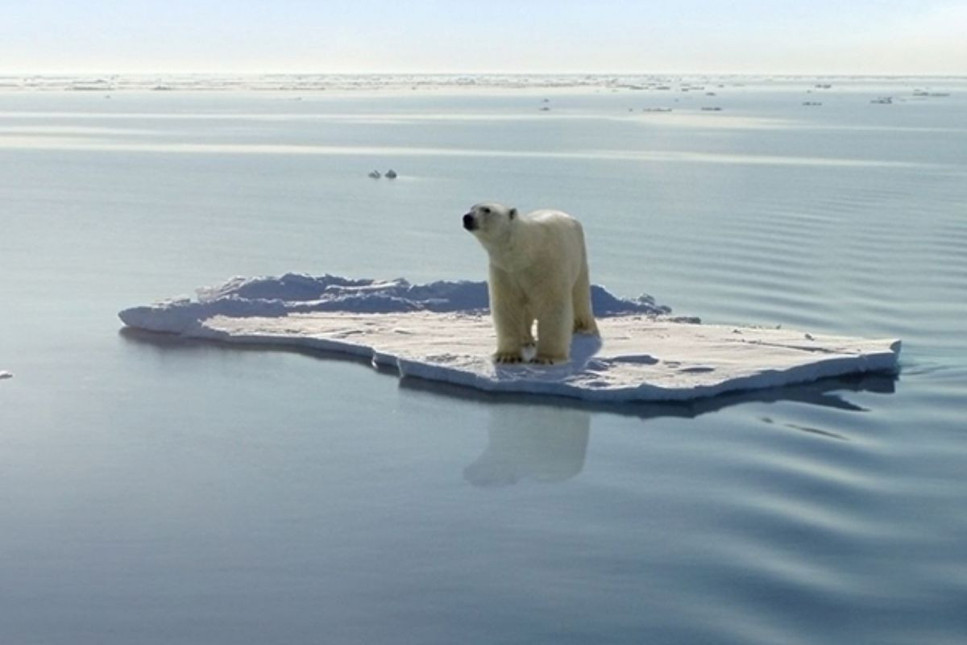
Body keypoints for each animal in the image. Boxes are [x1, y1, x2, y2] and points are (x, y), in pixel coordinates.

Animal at [462, 201, 596, 362]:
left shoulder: (547, 267)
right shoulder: (505, 271)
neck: (525, 253)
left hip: (579, 257)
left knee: (579, 295)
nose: (467, 217)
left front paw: (546, 357)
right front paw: (507, 356)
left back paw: (584, 328)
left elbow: (552, 306)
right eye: (471, 207)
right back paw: (526, 339)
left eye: (487, 210)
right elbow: (508, 306)